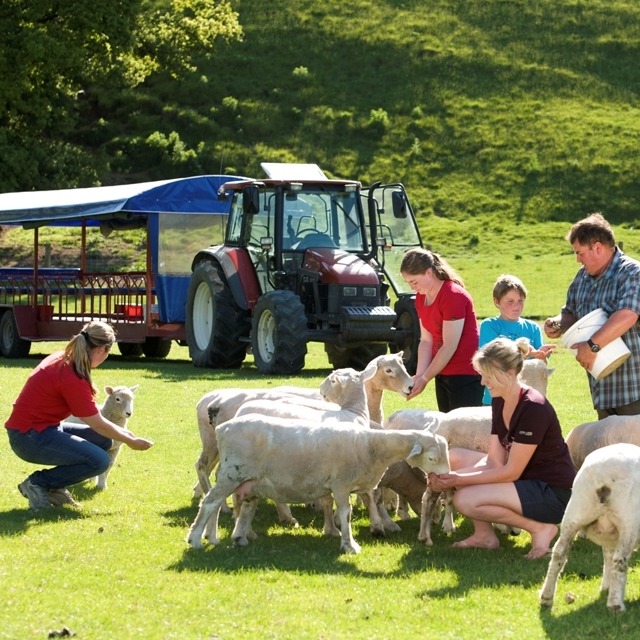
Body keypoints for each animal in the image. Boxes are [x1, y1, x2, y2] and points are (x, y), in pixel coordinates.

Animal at [186, 420, 450, 556]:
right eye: (432, 458)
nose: (446, 478)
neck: (370, 446)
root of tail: (221, 429)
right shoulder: (341, 484)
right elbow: (345, 514)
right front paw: (350, 545)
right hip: (231, 473)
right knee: (210, 502)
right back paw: (196, 538)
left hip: (247, 481)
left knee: (236, 506)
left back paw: (234, 538)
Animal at [540, 442, 640, 612]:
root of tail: (603, 476)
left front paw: (606, 587)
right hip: (628, 521)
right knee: (619, 559)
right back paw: (615, 604)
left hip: (575, 512)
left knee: (559, 552)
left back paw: (546, 597)